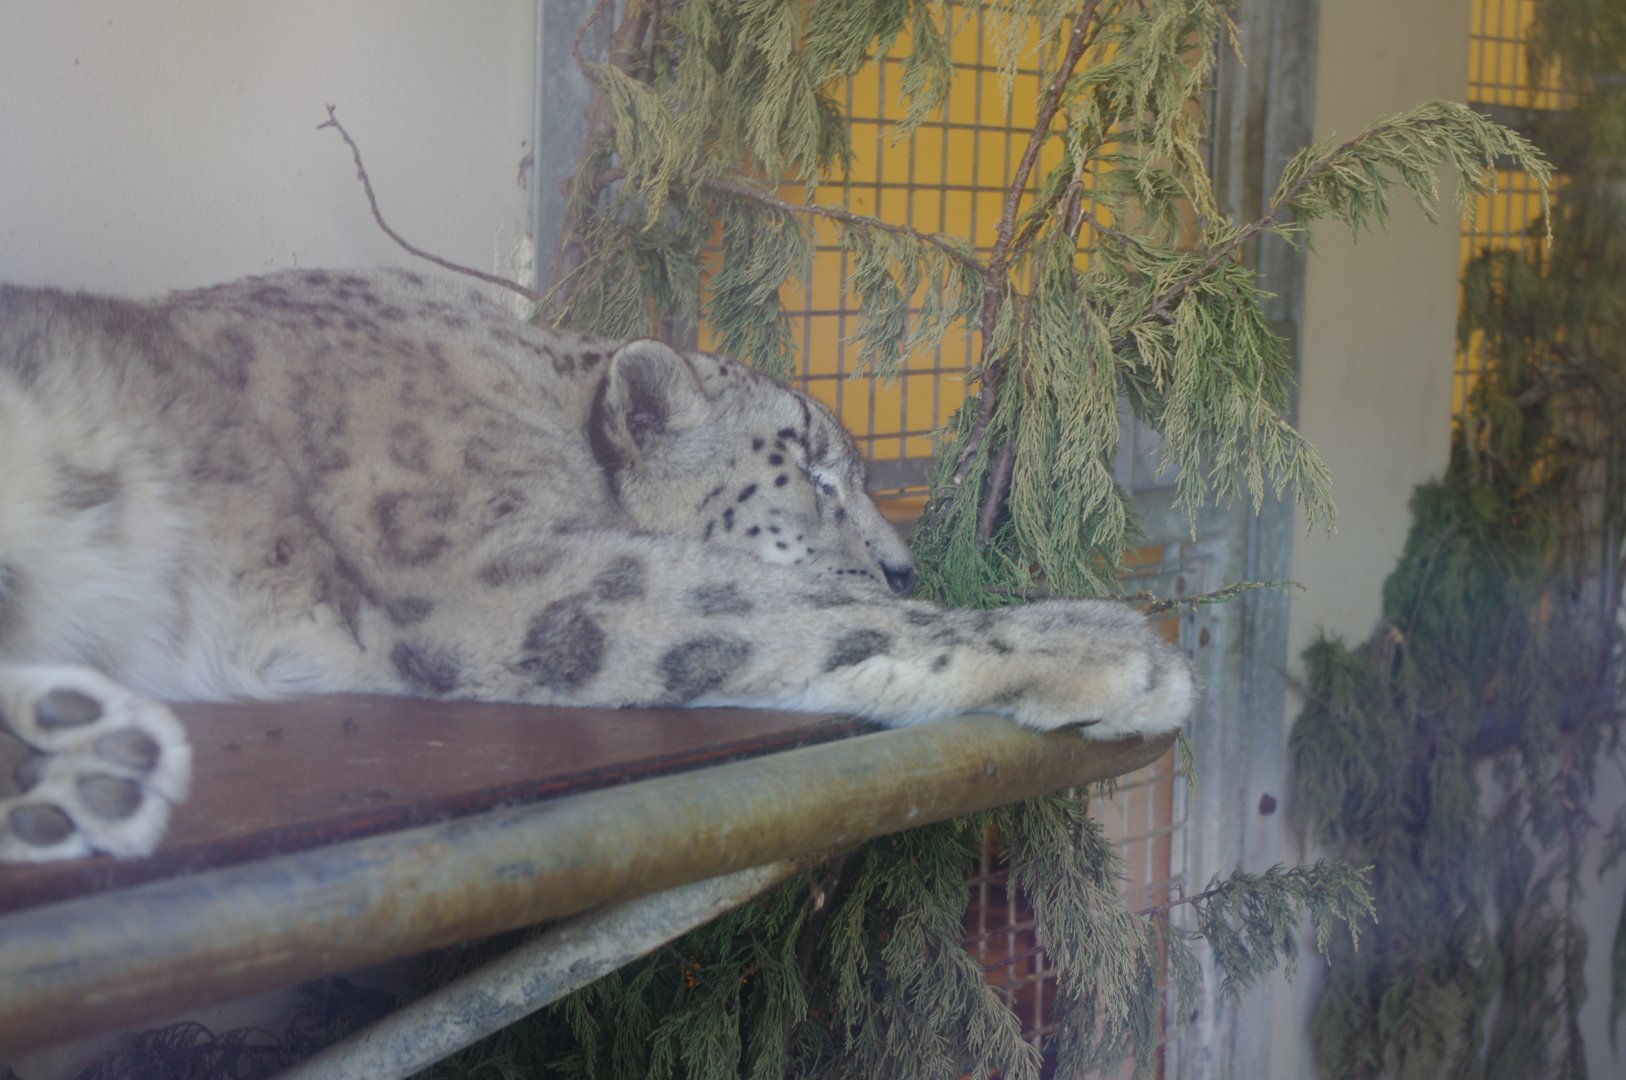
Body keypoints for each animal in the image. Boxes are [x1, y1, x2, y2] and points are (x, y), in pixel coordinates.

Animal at [0, 267, 1194, 864]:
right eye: (811, 470)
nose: (902, 569)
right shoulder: (491, 570)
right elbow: (781, 607)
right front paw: (1111, 647)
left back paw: (81, 762)